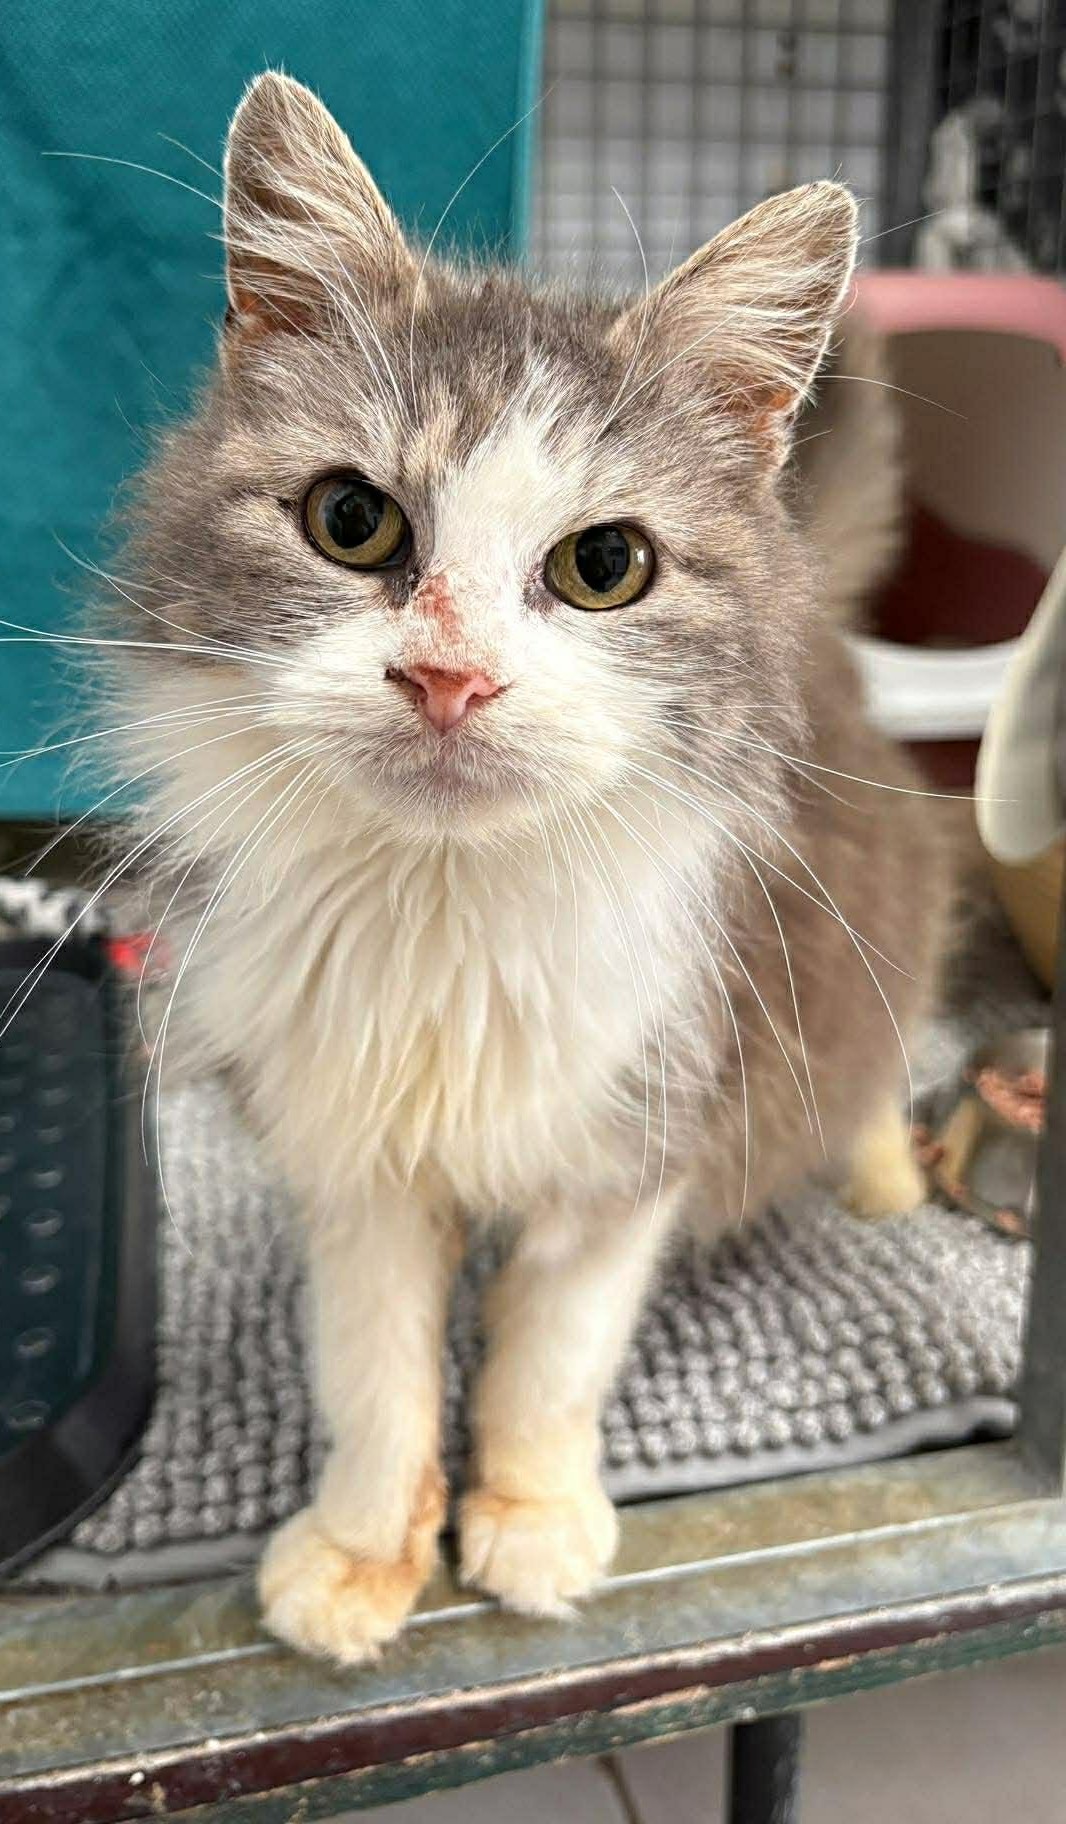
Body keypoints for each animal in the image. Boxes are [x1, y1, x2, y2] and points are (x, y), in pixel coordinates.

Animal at [107, 72, 948, 1664]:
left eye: (602, 566)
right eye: (351, 520)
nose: (447, 678)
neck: (446, 917)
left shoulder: (638, 1134)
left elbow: (545, 1366)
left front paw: (534, 1520)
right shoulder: (350, 1158)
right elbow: (374, 1375)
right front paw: (364, 1551)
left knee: (882, 1046)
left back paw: (884, 1182)